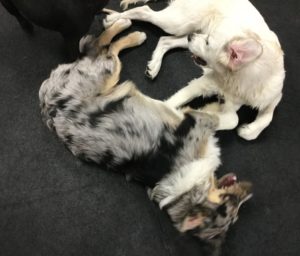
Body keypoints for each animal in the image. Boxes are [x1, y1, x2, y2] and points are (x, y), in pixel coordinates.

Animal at [38, 19, 252, 251]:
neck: (190, 191)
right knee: (101, 46)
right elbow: (225, 119)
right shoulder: (192, 121)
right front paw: (222, 107)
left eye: (236, 216)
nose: (249, 191)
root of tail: (46, 105)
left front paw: (218, 104)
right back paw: (130, 30)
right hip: (106, 72)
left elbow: (217, 113)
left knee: (98, 48)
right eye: (227, 208)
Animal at [104, 0, 284, 140]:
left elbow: (259, 117)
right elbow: (173, 103)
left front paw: (248, 129)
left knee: (165, 40)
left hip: (188, 31)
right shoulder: (201, 84)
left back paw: (154, 65)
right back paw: (114, 19)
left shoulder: (273, 95)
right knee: (144, 11)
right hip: (178, 23)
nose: (193, 36)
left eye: (208, 42)